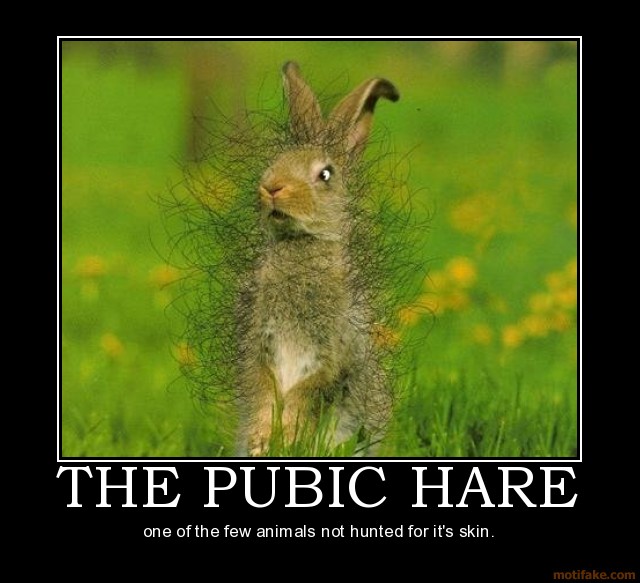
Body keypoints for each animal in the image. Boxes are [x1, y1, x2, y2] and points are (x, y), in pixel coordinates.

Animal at [235, 61, 400, 457]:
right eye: (275, 162)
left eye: (325, 174)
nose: (272, 187)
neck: (301, 244)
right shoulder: (260, 343)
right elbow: (264, 388)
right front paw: (263, 438)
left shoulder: (333, 351)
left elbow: (308, 391)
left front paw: (288, 433)